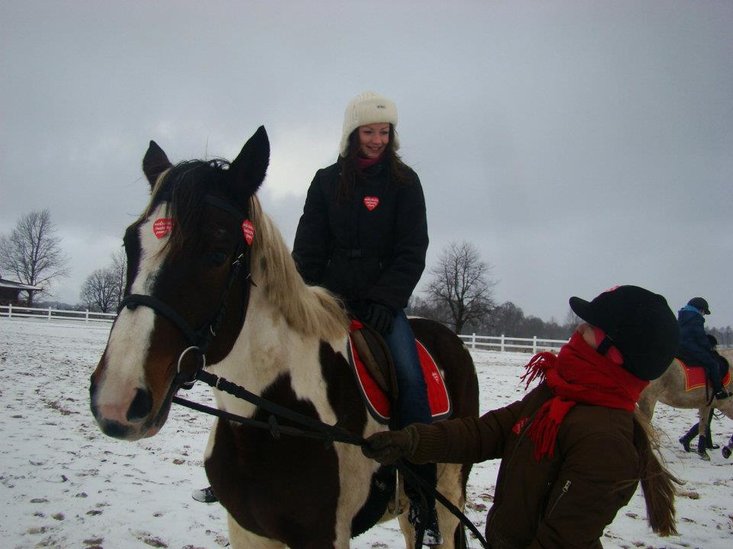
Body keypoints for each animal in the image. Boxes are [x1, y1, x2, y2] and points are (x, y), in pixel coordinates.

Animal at [88, 126, 480, 544]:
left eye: (217, 254)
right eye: (130, 244)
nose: (116, 400)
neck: (272, 415)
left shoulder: (325, 536)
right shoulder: (248, 531)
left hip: (448, 497)